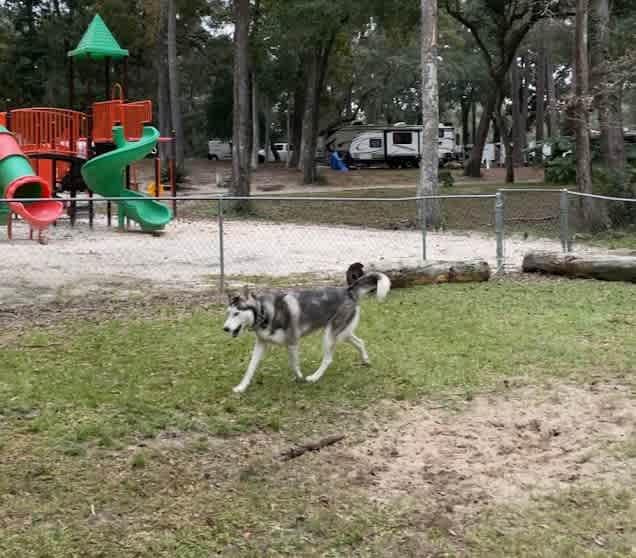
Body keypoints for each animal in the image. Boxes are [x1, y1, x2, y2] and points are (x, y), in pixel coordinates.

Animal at [224, 274, 392, 396]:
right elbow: (250, 368)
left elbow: (293, 364)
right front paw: (241, 387)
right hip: (342, 334)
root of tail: (347, 290)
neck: (265, 313)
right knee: (360, 342)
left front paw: (300, 378)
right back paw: (365, 360)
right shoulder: (261, 344)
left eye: (236, 313)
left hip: (329, 335)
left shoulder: (292, 343)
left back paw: (314, 377)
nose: (225, 328)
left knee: (328, 359)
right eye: (228, 313)